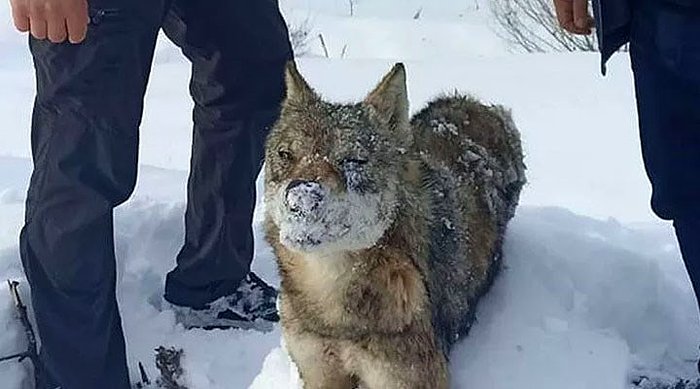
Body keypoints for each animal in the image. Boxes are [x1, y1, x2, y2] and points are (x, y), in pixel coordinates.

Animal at [262, 62, 524, 386]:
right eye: (286, 155)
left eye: (353, 160)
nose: (300, 198)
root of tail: (476, 103)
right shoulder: (318, 370)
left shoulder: (407, 377)